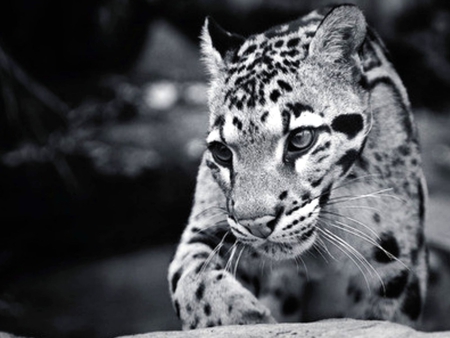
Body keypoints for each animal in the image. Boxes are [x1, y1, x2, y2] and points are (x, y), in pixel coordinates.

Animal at [168, 3, 426, 330]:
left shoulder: (395, 263)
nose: (256, 224)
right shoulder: (212, 223)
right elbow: (188, 275)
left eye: (300, 139)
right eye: (222, 152)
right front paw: (241, 318)